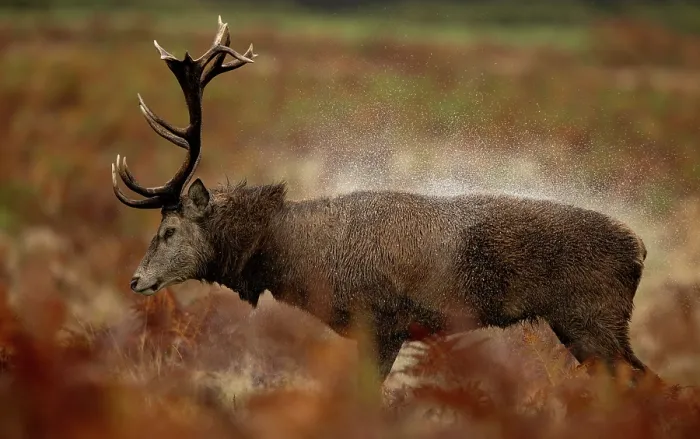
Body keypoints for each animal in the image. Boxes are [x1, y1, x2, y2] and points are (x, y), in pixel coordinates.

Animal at [111, 16, 657, 387]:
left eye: (169, 230)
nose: (136, 280)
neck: (301, 261)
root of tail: (641, 249)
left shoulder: (384, 321)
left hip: (594, 317)